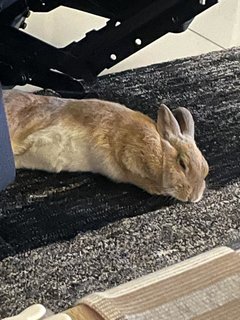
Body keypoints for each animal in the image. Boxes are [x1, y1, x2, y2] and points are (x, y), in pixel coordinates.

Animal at [2, 89, 208, 201]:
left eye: (206, 170)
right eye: (182, 164)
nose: (194, 197)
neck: (160, 149)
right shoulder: (129, 154)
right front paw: (156, 188)